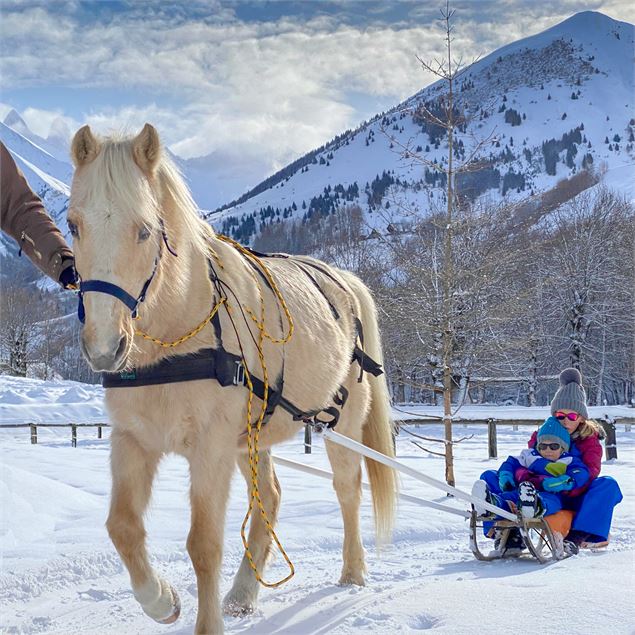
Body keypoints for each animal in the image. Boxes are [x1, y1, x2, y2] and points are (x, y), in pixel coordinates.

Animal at [69, 124, 398, 635]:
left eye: (144, 229)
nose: (105, 348)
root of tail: (345, 281)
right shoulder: (132, 440)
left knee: (348, 490)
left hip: (341, 423)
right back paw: (244, 593)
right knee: (272, 500)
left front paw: (204, 623)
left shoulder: (211, 448)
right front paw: (162, 601)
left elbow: (203, 545)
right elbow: (122, 526)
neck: (175, 337)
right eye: (73, 225)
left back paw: (353, 572)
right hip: (253, 437)